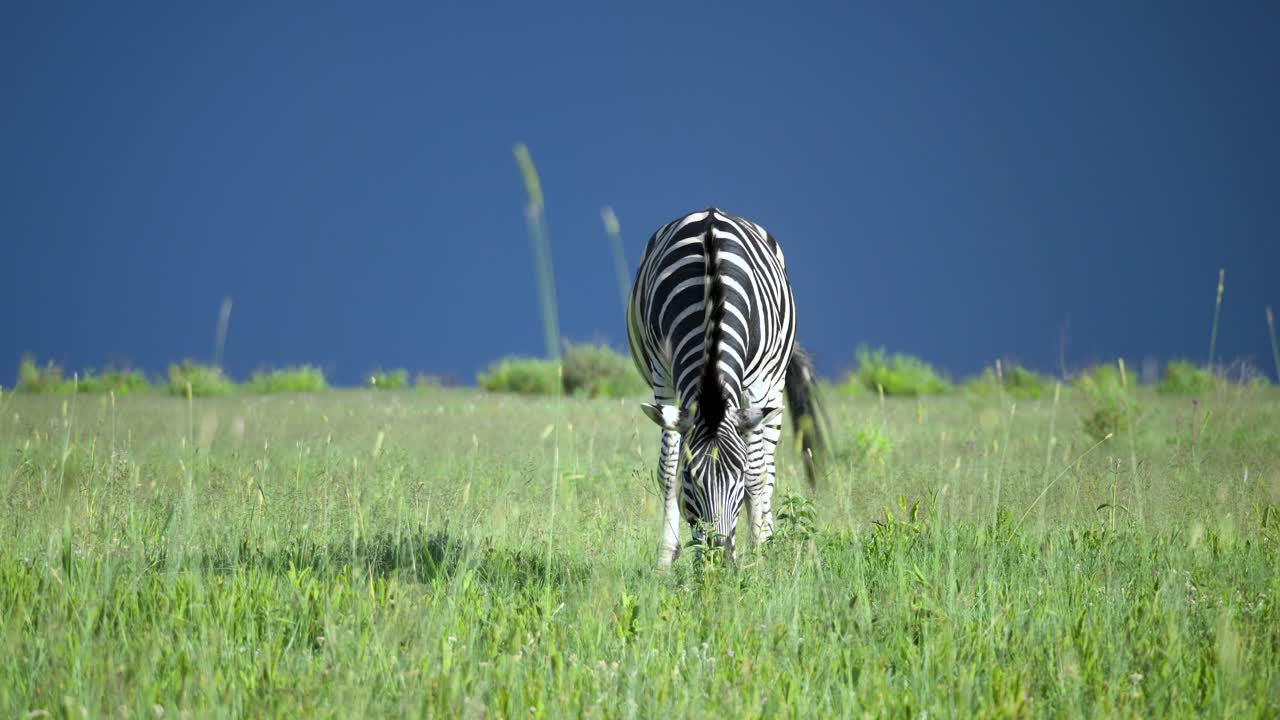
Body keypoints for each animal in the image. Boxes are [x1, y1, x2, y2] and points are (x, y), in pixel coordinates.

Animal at [626, 208, 825, 568]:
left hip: (773, 392)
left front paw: (759, 556)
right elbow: (667, 469)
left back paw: (768, 540)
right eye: (691, 479)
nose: (717, 559)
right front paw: (666, 558)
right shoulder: (663, 376)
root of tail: (711, 212)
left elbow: (757, 474)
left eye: (737, 475)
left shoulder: (756, 386)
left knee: (769, 468)